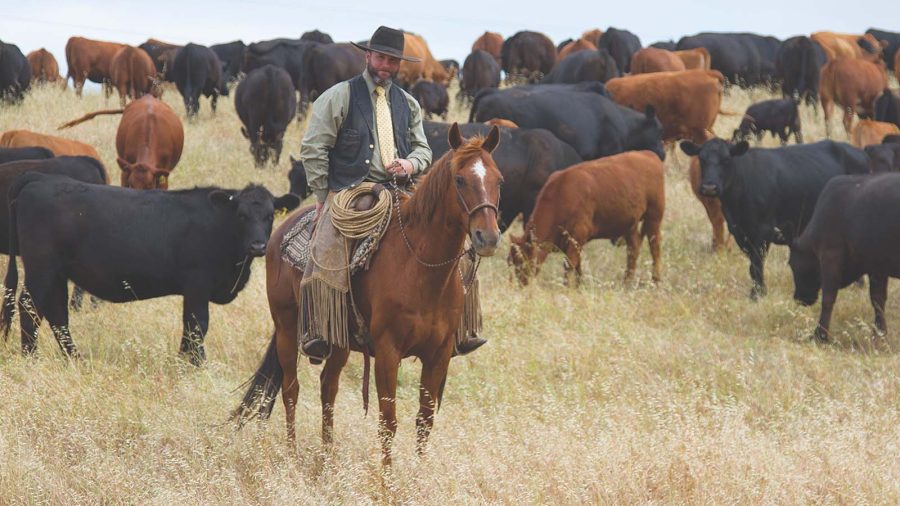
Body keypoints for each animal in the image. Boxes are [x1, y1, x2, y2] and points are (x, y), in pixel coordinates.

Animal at [0, 174, 299, 364]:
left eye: (270, 216)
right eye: (241, 215)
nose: (258, 245)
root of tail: (39, 178)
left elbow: (190, 327)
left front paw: (184, 360)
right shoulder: (197, 285)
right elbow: (197, 325)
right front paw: (195, 364)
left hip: (57, 273)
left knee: (56, 314)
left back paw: (74, 358)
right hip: (41, 269)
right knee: (29, 307)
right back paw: (31, 356)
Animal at [507, 150, 664, 286]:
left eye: (523, 260)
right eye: (512, 262)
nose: (522, 284)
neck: (560, 194)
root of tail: (648, 154)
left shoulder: (577, 236)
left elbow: (569, 265)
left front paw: (567, 287)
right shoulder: (574, 242)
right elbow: (578, 266)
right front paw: (578, 286)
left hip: (654, 217)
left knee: (655, 248)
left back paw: (655, 281)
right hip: (629, 224)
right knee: (633, 249)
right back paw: (626, 282)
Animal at [680, 138, 869, 299]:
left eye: (726, 160)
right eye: (702, 159)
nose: (709, 187)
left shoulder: (763, 230)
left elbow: (756, 264)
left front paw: (757, 294)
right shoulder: (740, 232)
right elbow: (752, 266)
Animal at [789, 173, 900, 342]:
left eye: (791, 264)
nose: (798, 298)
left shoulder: (830, 256)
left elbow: (828, 298)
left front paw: (820, 335)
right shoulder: (877, 265)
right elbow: (878, 299)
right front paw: (879, 334)